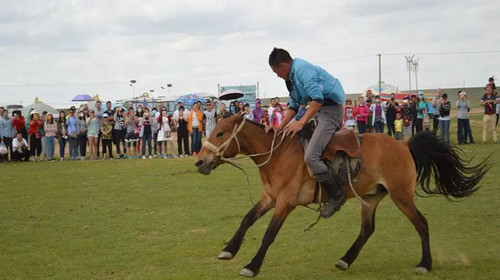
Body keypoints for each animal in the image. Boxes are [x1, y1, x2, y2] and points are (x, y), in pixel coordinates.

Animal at [194, 114, 488, 278]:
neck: (277, 154)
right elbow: (246, 219)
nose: (199, 161)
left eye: (220, 133)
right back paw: (345, 260)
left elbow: (268, 234)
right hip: (370, 197)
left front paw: (252, 266)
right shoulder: (269, 198)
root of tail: (403, 144)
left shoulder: (285, 203)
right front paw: (229, 250)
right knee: (367, 229)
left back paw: (425, 264)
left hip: (401, 196)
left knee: (421, 223)